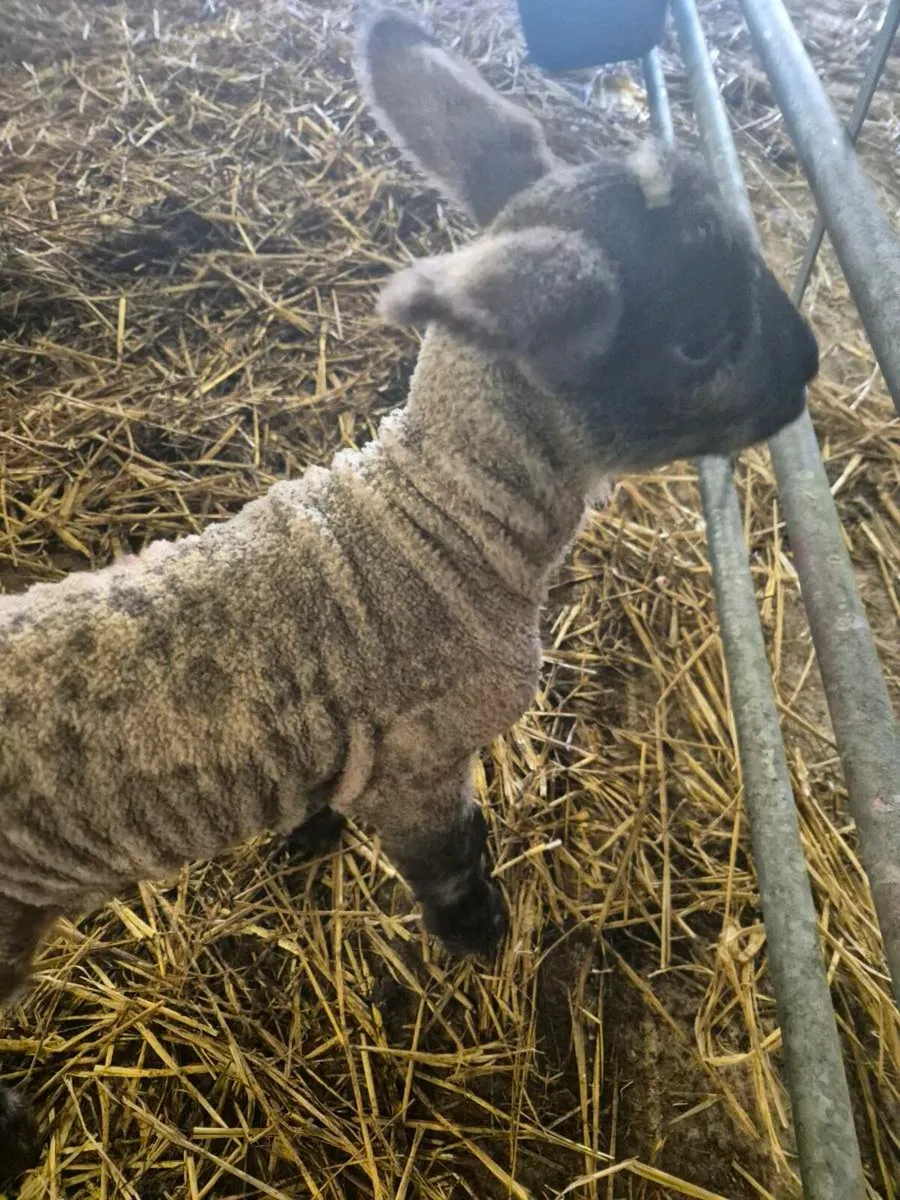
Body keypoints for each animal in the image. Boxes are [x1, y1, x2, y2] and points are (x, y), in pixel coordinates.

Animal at [0, 8, 818, 1183]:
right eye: (699, 337)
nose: (808, 366)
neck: (442, 524)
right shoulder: (422, 763)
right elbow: (448, 864)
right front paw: (483, 940)